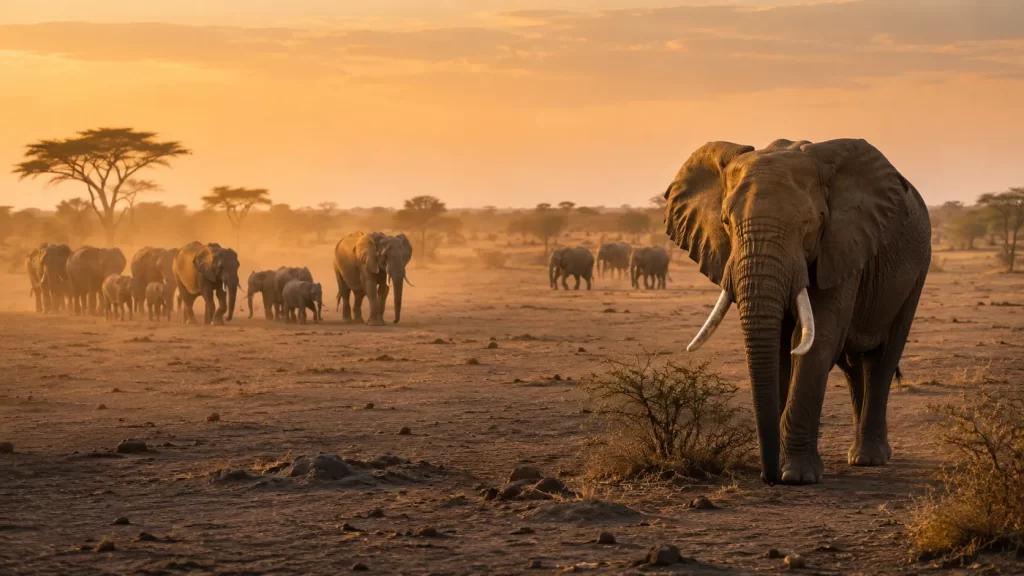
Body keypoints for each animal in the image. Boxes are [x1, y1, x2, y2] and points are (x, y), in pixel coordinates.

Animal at [665, 138, 931, 485]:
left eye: (810, 225)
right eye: (725, 223)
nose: (768, 478)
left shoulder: (840, 245)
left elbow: (816, 340)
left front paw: (798, 476)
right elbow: (779, 346)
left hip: (917, 271)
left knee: (882, 359)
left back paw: (870, 459)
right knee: (853, 366)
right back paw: (861, 455)